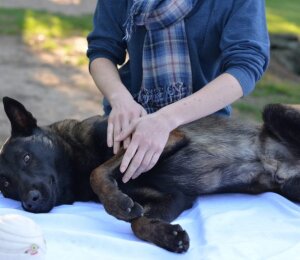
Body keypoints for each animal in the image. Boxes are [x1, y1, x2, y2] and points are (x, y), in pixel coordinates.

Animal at [0, 96, 300, 253]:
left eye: (27, 158)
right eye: (6, 184)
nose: (29, 202)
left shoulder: (163, 137)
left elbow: (99, 172)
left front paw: (116, 204)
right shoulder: (176, 197)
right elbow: (138, 222)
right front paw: (168, 236)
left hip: (275, 111)